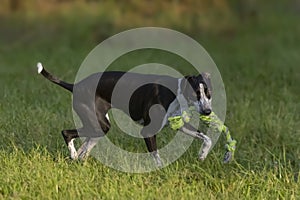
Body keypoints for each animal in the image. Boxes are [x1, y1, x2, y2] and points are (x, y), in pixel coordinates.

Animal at [37, 62, 213, 166]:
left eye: (209, 94)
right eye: (195, 94)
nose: (207, 111)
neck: (175, 92)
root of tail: (76, 85)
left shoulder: (180, 125)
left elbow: (207, 138)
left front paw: (202, 155)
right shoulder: (147, 132)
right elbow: (157, 157)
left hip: (99, 127)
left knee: (84, 148)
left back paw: (78, 159)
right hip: (100, 125)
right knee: (67, 133)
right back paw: (73, 155)